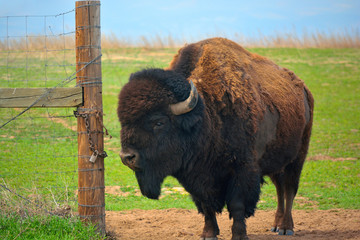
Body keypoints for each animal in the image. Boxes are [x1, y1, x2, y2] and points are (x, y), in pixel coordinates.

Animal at [117, 38, 312, 240]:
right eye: (122, 121)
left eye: (158, 122)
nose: (127, 157)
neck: (207, 114)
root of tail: (303, 89)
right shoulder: (197, 177)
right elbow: (206, 205)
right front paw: (208, 234)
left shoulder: (242, 170)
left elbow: (237, 205)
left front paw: (239, 235)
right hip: (277, 162)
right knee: (280, 189)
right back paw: (276, 225)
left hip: (297, 158)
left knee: (289, 189)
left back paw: (286, 228)